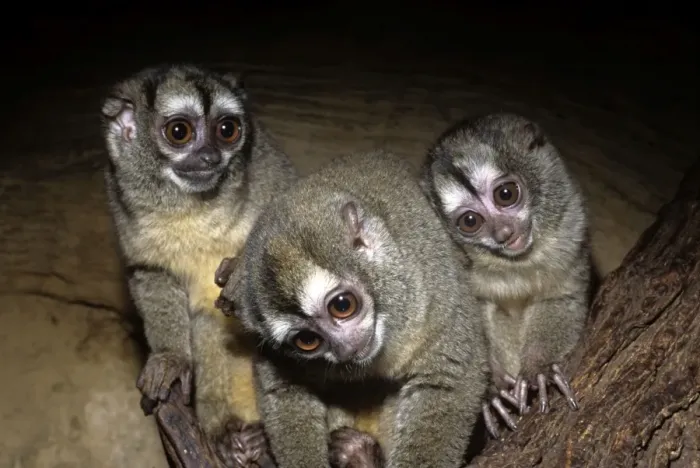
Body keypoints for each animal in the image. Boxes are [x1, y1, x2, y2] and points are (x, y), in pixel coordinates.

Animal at [99, 63, 297, 465]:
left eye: (227, 129)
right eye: (180, 132)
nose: (209, 157)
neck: (193, 208)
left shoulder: (270, 167)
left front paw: (240, 273)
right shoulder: (124, 207)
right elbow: (151, 274)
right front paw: (171, 360)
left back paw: (265, 444)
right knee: (210, 324)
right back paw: (229, 437)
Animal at [216, 150, 489, 468]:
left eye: (342, 306)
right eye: (307, 340)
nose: (346, 348)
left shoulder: (432, 296)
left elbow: (449, 376)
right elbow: (284, 386)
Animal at [419, 112, 592, 439]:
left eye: (506, 194)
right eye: (470, 221)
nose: (504, 233)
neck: (514, 263)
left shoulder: (571, 225)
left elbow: (561, 296)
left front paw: (538, 370)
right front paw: (490, 396)